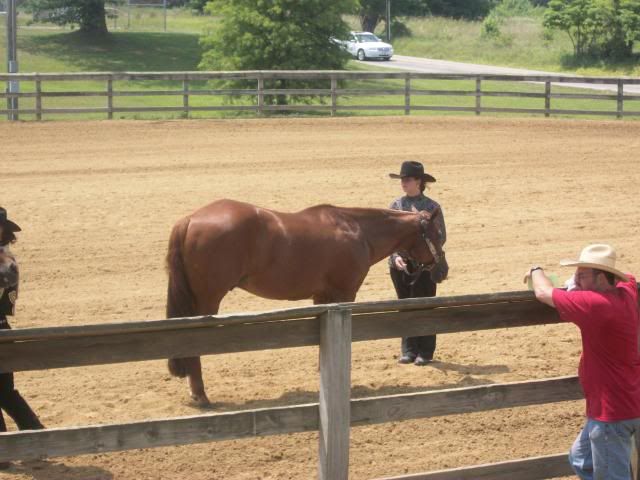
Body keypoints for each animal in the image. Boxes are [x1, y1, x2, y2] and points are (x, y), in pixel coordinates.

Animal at [165, 199, 448, 404]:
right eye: (436, 233)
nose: (442, 270)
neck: (357, 230)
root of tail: (190, 220)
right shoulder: (344, 294)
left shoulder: (323, 298)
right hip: (207, 302)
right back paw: (200, 394)